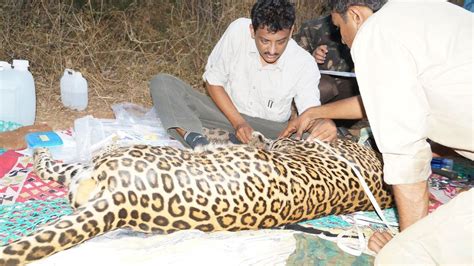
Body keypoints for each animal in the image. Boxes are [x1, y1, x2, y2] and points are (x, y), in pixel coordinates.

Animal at [0, 132, 392, 264]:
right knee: (58, 172)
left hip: (122, 160)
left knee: (69, 167)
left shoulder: (291, 144)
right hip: (87, 179)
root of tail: (122, 205)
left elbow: (280, 139)